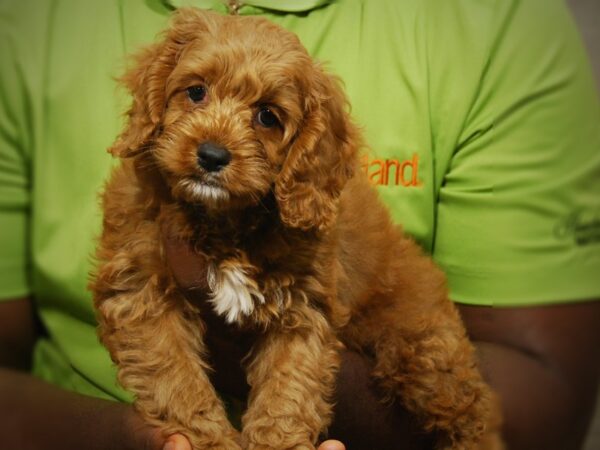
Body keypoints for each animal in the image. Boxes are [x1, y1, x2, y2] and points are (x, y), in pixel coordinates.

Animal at [91, 7, 504, 450]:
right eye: (196, 91)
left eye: (267, 116)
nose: (212, 155)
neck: (223, 220)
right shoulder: (141, 292)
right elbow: (176, 381)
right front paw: (211, 439)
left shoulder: (301, 307)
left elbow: (287, 392)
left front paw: (276, 440)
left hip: (424, 349)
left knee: (471, 409)